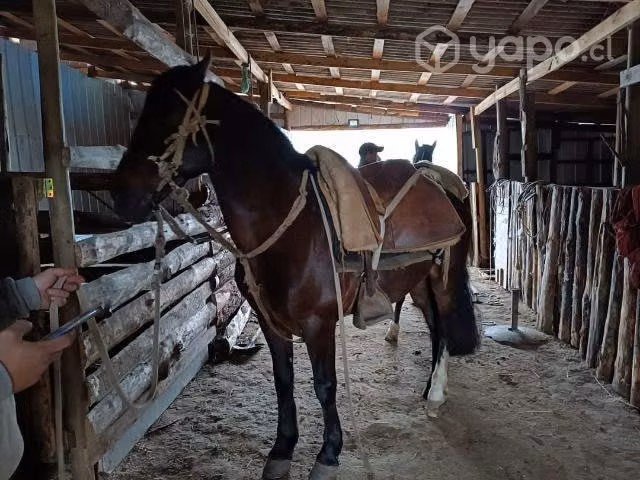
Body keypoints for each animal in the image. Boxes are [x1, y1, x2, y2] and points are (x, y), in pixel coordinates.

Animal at [111, 56, 479, 480]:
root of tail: (440, 180)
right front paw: (282, 449)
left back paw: (435, 394)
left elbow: (324, 385)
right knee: (435, 327)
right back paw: (429, 388)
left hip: (443, 279)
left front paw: (328, 454)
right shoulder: (271, 322)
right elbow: (283, 382)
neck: (289, 227)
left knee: (445, 325)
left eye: (170, 114)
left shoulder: (319, 323)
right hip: (418, 283)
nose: (120, 195)